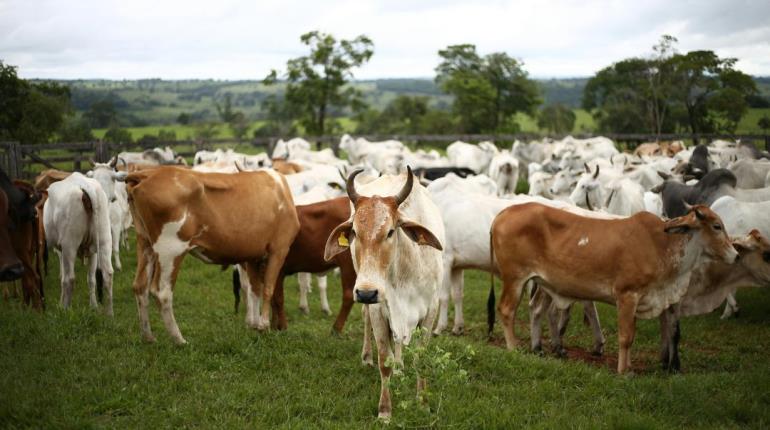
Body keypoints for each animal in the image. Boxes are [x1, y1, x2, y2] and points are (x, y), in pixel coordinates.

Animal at [43, 172, 114, 316]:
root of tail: (85, 185)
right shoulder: (93, 252)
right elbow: (91, 279)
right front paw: (93, 306)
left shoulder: (61, 251)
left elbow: (63, 277)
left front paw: (61, 304)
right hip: (104, 239)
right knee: (107, 274)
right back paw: (109, 314)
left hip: (69, 245)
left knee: (69, 279)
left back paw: (65, 310)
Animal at [126, 166, 296, 344]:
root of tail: (148, 173)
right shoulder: (279, 249)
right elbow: (268, 288)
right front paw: (264, 326)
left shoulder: (253, 256)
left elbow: (254, 289)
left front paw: (254, 325)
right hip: (170, 249)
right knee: (162, 292)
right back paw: (179, 340)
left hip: (145, 242)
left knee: (140, 286)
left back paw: (148, 337)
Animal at [488, 202, 736, 372]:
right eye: (717, 226)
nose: (735, 254)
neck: (662, 246)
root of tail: (503, 214)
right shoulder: (627, 295)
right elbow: (626, 336)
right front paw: (624, 371)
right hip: (515, 278)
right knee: (506, 310)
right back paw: (513, 347)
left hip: (539, 282)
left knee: (534, 309)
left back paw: (537, 348)